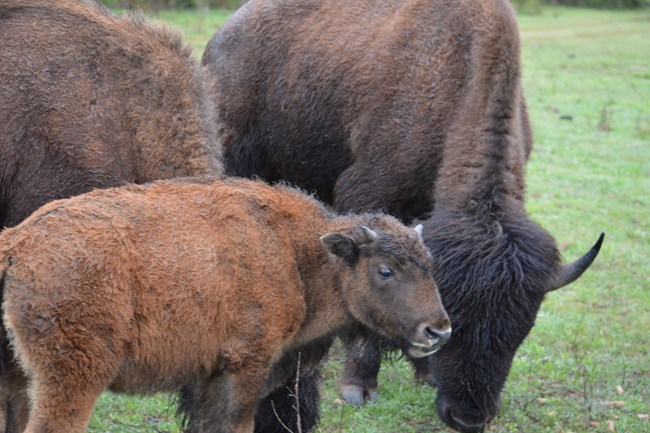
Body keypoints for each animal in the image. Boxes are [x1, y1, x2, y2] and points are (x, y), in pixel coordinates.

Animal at [0, 175, 451, 433]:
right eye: (385, 270)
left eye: (430, 265)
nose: (439, 330)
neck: (298, 254)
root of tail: (19, 243)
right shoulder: (246, 366)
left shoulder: (209, 376)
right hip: (72, 378)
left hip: (19, 379)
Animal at [202, 0, 604, 431]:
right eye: (458, 318)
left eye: (521, 331)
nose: (467, 418)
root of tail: (223, 36)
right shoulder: (366, 195)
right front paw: (359, 386)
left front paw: (424, 372)